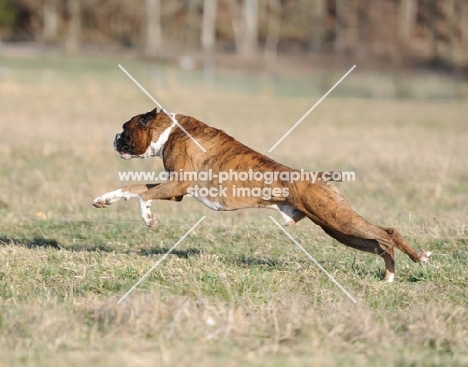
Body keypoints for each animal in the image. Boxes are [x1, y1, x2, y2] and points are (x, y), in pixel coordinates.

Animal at [94, 108, 432, 282]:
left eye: (126, 127)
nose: (114, 137)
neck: (171, 130)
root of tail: (317, 178)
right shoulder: (175, 190)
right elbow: (132, 189)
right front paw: (104, 199)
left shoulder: (177, 187)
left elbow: (142, 196)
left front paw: (148, 220)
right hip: (340, 230)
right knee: (380, 243)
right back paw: (389, 277)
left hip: (340, 220)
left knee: (388, 232)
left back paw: (418, 257)